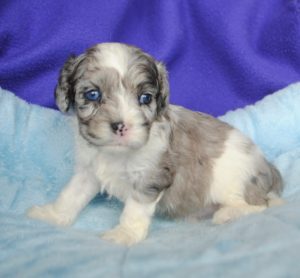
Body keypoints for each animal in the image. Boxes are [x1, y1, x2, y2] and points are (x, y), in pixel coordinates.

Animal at [27, 42, 282, 244]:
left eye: (145, 98)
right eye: (93, 95)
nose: (121, 126)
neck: (115, 154)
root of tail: (267, 168)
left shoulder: (149, 178)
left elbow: (134, 211)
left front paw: (124, 234)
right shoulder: (88, 172)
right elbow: (70, 196)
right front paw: (51, 215)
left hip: (231, 183)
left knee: (259, 206)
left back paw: (226, 214)